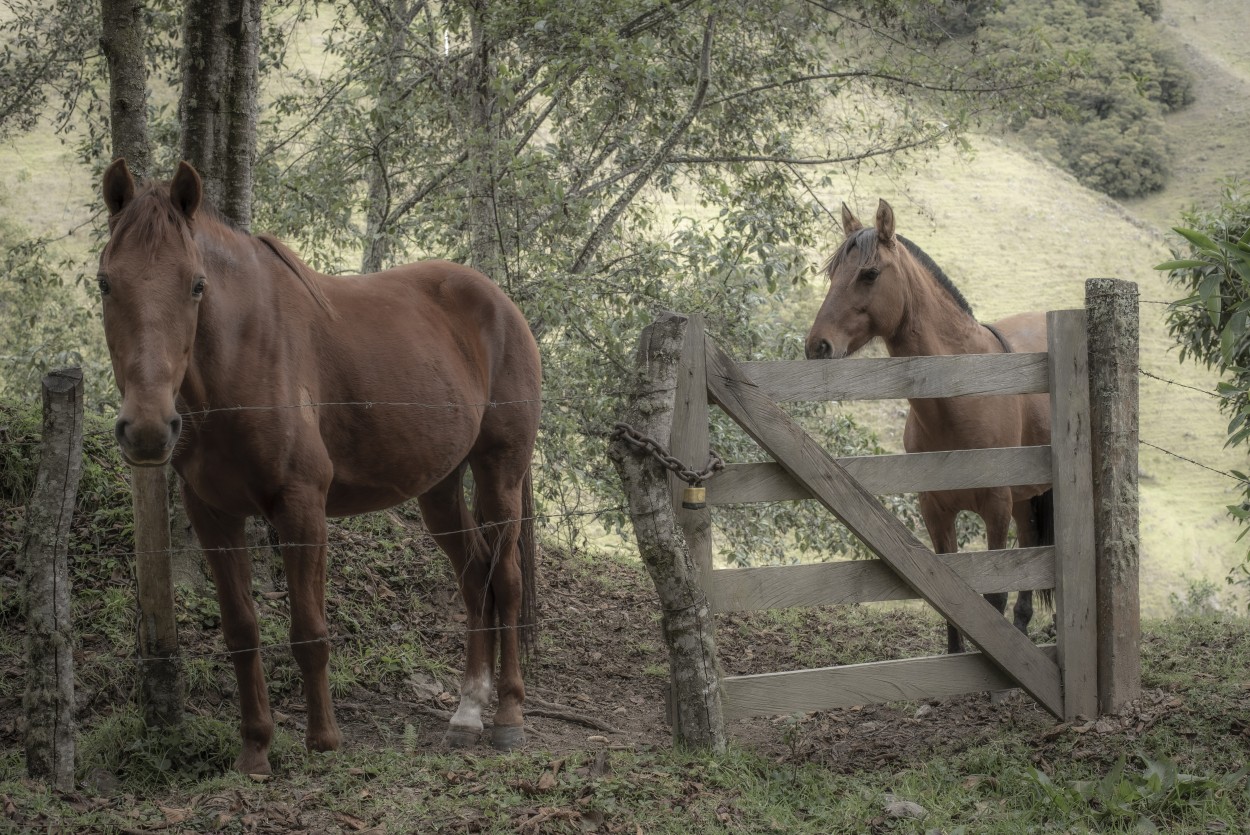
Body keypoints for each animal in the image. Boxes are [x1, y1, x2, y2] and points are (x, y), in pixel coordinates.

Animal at [98, 160, 542, 775]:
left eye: (195, 284)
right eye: (105, 282)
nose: (146, 429)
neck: (241, 360)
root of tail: (500, 302)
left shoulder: (301, 508)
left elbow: (309, 631)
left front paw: (324, 742)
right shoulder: (213, 515)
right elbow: (241, 630)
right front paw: (255, 750)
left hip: (500, 472)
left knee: (507, 580)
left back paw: (508, 717)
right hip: (439, 488)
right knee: (476, 576)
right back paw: (467, 712)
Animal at [805, 198, 1050, 655]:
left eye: (869, 273)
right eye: (833, 274)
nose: (817, 346)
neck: (958, 401)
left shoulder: (995, 508)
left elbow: (994, 597)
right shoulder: (935, 511)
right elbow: (950, 601)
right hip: (1025, 500)